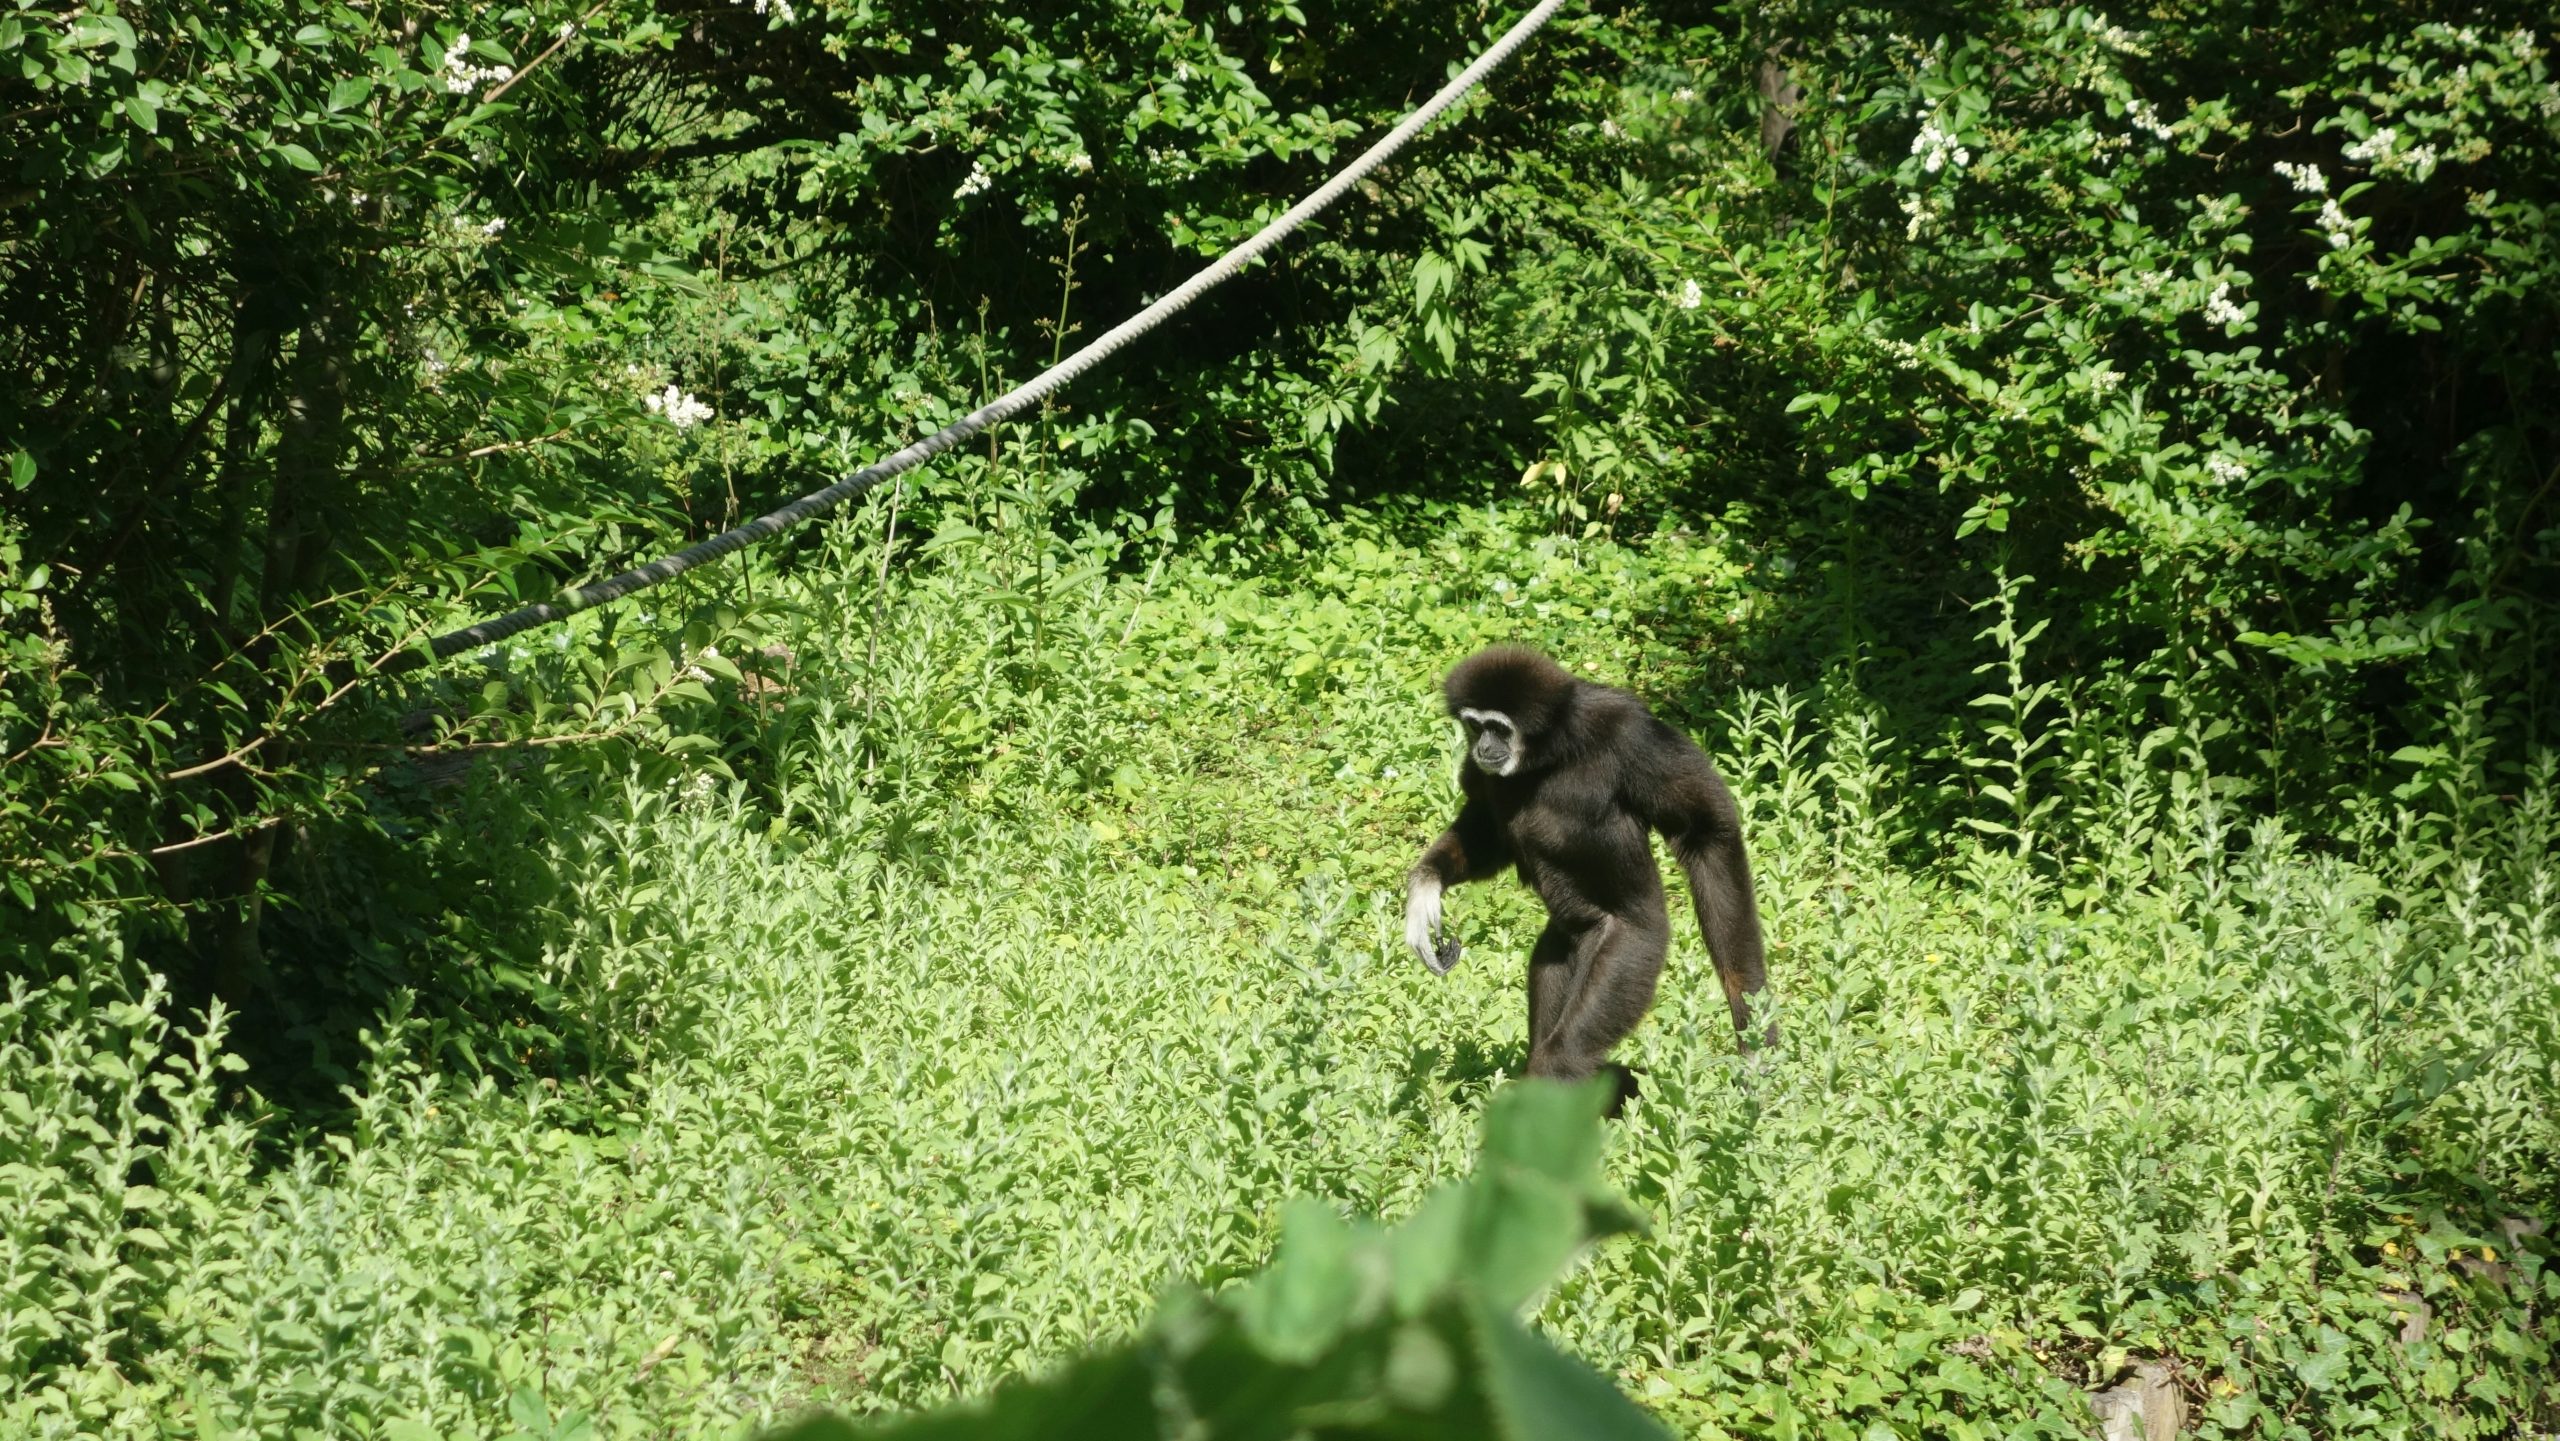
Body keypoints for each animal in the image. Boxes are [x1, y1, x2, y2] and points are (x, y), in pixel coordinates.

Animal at [1402, 645, 1769, 1108]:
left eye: (1498, 729)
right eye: (1474, 725)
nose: (1484, 745)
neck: (1550, 755)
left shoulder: (1631, 733)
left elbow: (1708, 832)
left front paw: (1754, 1044)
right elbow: (1488, 827)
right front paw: (1424, 891)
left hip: (1633, 947)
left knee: (1562, 1056)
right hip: (1561, 947)